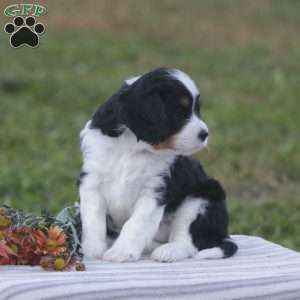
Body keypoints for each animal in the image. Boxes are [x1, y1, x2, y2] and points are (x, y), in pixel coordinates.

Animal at [78, 68, 238, 262]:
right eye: (179, 112)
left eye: (197, 110)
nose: (205, 134)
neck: (133, 148)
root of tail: (223, 233)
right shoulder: (91, 181)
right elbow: (93, 219)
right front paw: (92, 250)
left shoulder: (155, 188)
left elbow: (136, 223)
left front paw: (121, 252)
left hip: (202, 198)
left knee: (189, 241)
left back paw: (168, 251)